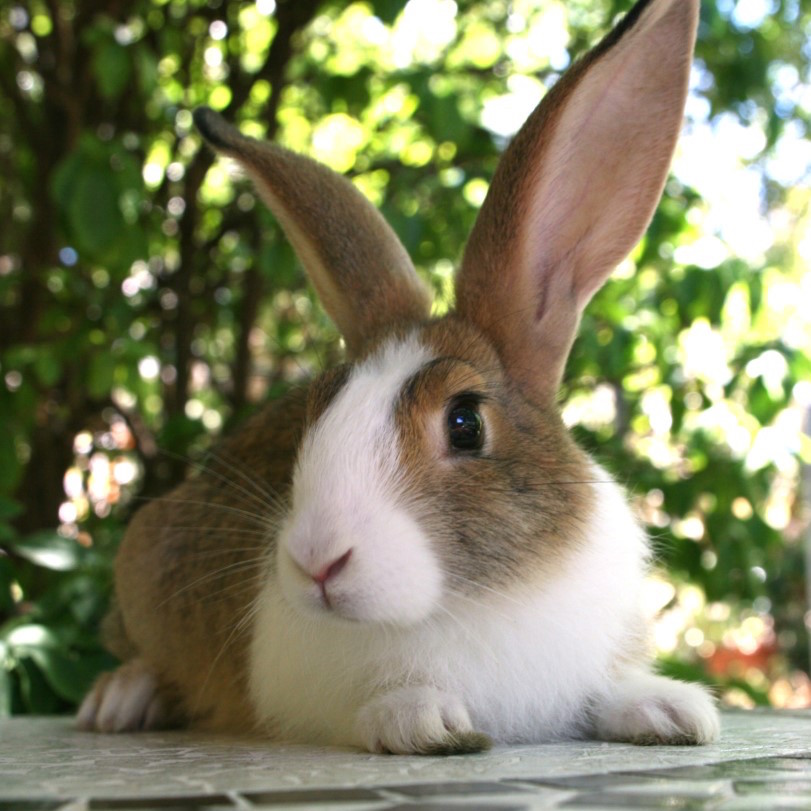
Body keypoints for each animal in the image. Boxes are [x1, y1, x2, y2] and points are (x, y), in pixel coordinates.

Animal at [78, 0, 720, 754]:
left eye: (465, 423)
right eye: (313, 413)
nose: (317, 562)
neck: (479, 598)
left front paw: (672, 710)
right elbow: (373, 706)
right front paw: (423, 720)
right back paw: (119, 700)